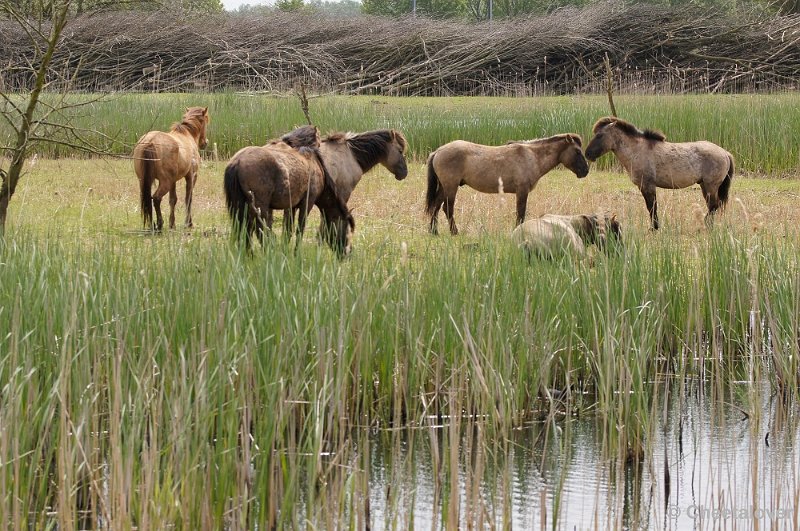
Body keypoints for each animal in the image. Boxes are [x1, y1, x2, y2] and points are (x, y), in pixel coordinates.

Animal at [424, 134, 588, 236]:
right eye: (577, 151)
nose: (585, 171)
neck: (532, 157)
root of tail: (438, 151)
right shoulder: (522, 191)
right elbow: (521, 213)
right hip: (451, 187)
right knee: (447, 208)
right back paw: (454, 232)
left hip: (444, 187)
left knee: (436, 207)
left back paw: (434, 232)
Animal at [584, 117, 736, 230]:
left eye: (599, 135)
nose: (587, 154)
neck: (637, 150)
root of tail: (725, 153)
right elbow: (652, 207)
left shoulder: (647, 186)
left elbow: (652, 207)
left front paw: (654, 228)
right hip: (704, 185)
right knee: (713, 205)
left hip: (711, 185)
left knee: (714, 205)